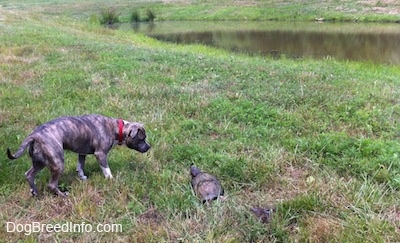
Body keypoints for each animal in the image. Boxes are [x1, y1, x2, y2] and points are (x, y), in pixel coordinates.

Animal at [7, 114, 151, 197]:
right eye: (142, 138)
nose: (149, 147)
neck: (116, 128)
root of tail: (34, 136)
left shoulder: (82, 153)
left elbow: (80, 166)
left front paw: (82, 177)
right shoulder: (100, 154)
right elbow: (106, 169)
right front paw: (110, 179)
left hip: (40, 162)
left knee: (29, 174)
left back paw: (35, 192)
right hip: (57, 162)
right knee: (52, 185)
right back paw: (63, 195)